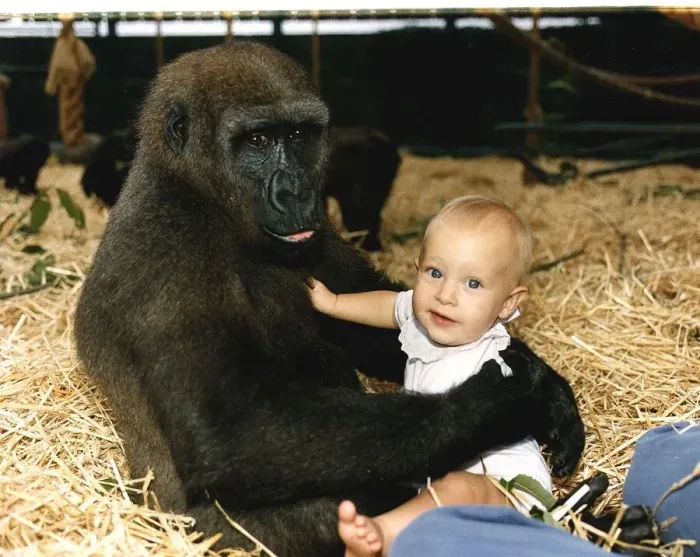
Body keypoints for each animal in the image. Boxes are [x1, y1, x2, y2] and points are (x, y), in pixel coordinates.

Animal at [73, 41, 585, 557]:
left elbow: (369, 324)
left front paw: (550, 389)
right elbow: (227, 435)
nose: (296, 191)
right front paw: (497, 406)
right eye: (258, 141)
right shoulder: (167, 251)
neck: (194, 189)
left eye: (299, 134)